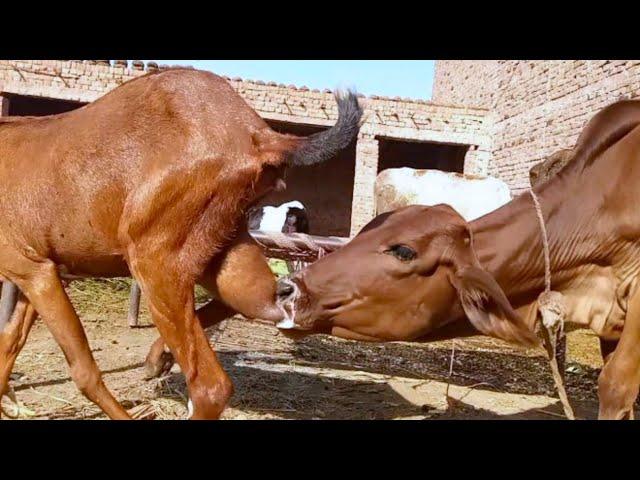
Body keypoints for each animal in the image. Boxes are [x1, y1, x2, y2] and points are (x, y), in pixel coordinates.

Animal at [0, 68, 360, 420]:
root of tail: (258, 134)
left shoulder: (34, 271)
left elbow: (82, 369)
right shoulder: (43, 272)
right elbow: (10, 342)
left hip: (154, 260)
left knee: (210, 387)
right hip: (225, 254)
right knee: (280, 303)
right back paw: (158, 357)